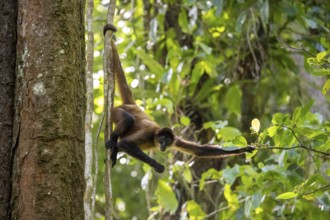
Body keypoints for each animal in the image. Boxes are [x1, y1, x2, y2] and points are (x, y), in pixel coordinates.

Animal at [104, 23, 254, 172]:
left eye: (167, 141)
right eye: (162, 140)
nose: (163, 146)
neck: (155, 136)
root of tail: (132, 105)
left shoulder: (175, 139)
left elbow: (200, 151)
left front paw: (245, 148)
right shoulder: (148, 133)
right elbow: (125, 143)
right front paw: (157, 165)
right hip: (115, 111)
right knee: (127, 119)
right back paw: (113, 144)